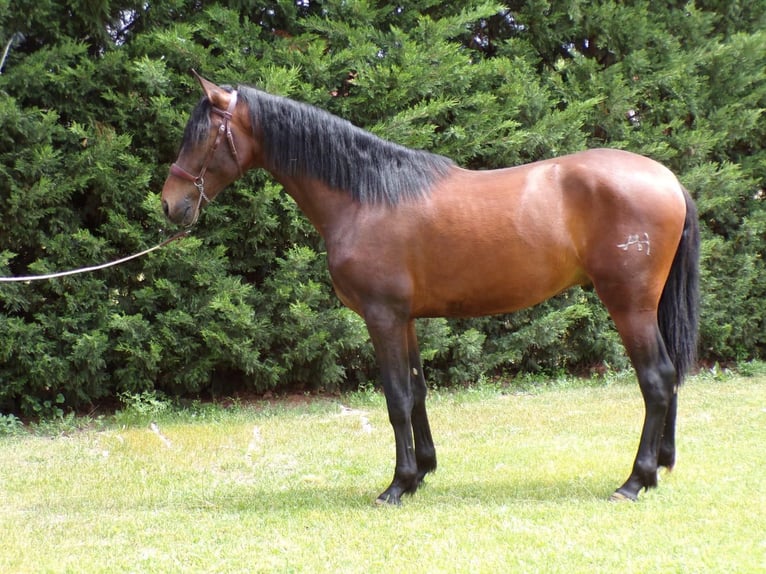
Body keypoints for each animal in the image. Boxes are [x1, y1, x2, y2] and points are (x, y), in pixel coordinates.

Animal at [162, 73, 704, 508]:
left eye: (203, 136)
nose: (170, 204)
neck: (366, 197)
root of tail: (670, 181)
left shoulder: (381, 317)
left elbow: (396, 397)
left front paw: (397, 485)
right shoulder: (403, 319)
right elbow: (417, 392)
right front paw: (422, 471)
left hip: (628, 305)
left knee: (656, 379)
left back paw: (634, 481)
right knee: (668, 378)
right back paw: (657, 469)